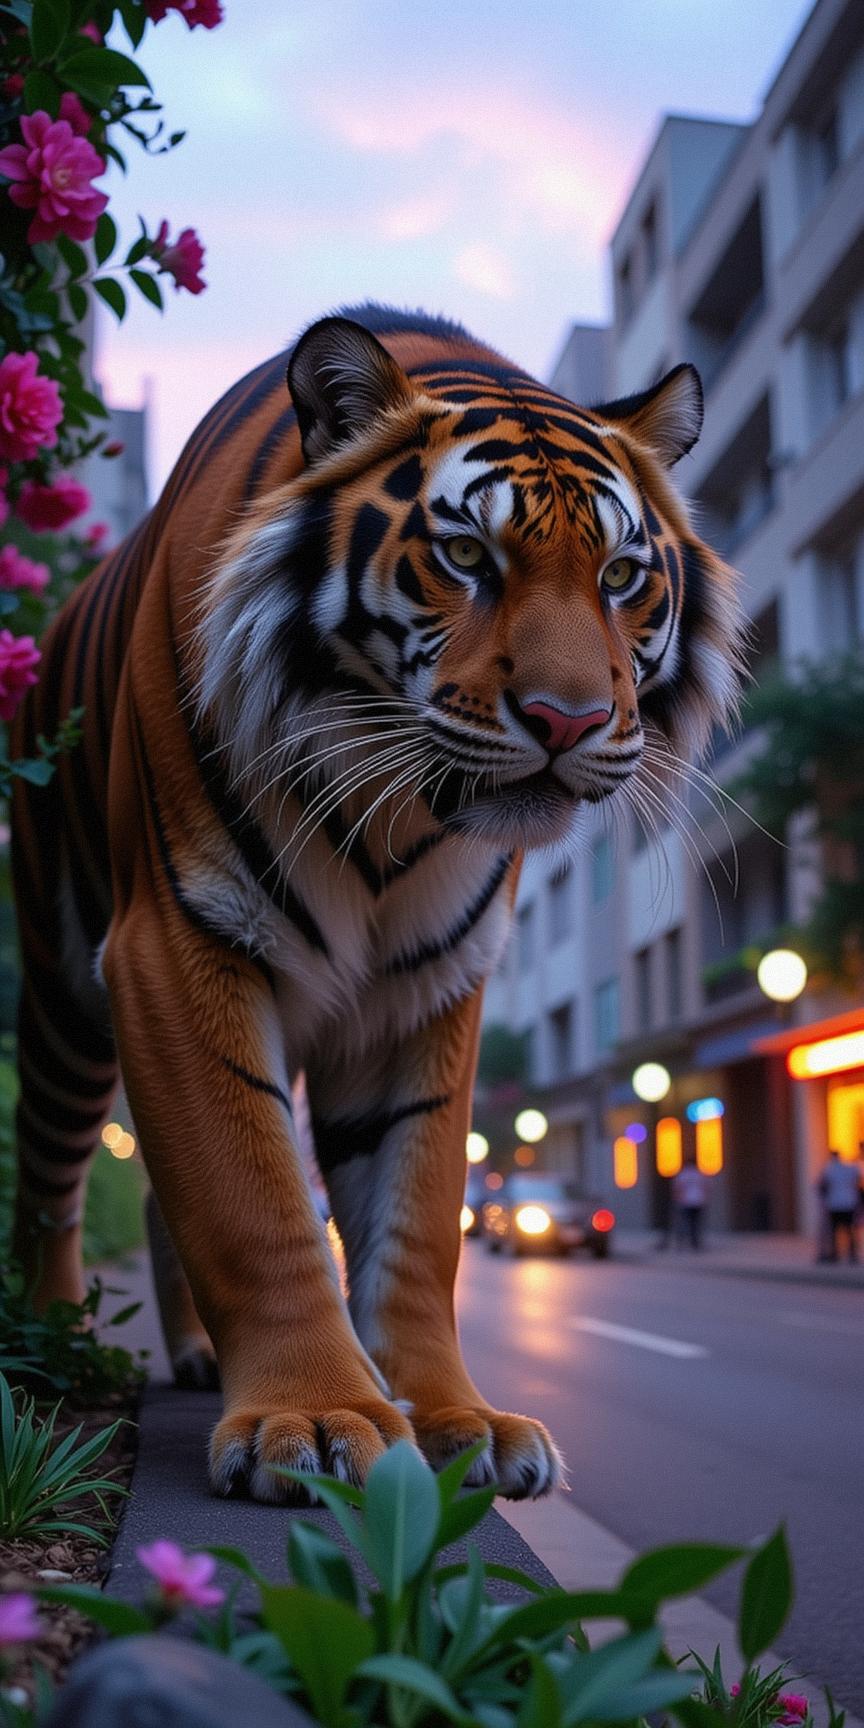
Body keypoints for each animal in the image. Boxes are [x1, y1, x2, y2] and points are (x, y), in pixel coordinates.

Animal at [10, 304, 743, 1501]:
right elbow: (252, 1195)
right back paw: (54, 1341)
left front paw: (459, 1420)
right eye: (466, 556)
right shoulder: (177, 943)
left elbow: (417, 1220)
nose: (571, 720)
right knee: (49, 1168)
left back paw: (198, 1354)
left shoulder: (424, 988)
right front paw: (310, 1416)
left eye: (623, 574)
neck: (393, 812)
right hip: (65, 999)